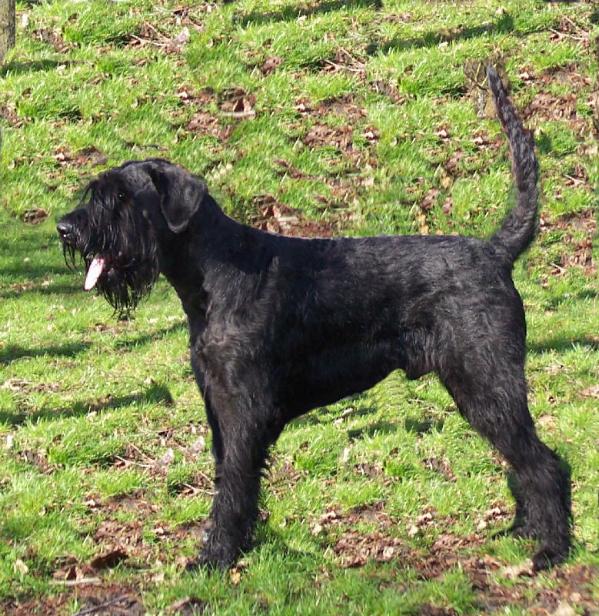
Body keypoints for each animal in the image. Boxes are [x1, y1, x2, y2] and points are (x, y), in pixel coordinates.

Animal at [56, 68, 572, 572]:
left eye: (122, 197)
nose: (66, 228)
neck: (215, 274)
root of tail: (496, 253)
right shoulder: (217, 402)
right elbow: (232, 478)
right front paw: (240, 547)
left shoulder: (244, 406)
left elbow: (235, 484)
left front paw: (216, 558)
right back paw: (525, 533)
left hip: (486, 382)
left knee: (544, 463)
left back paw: (550, 550)